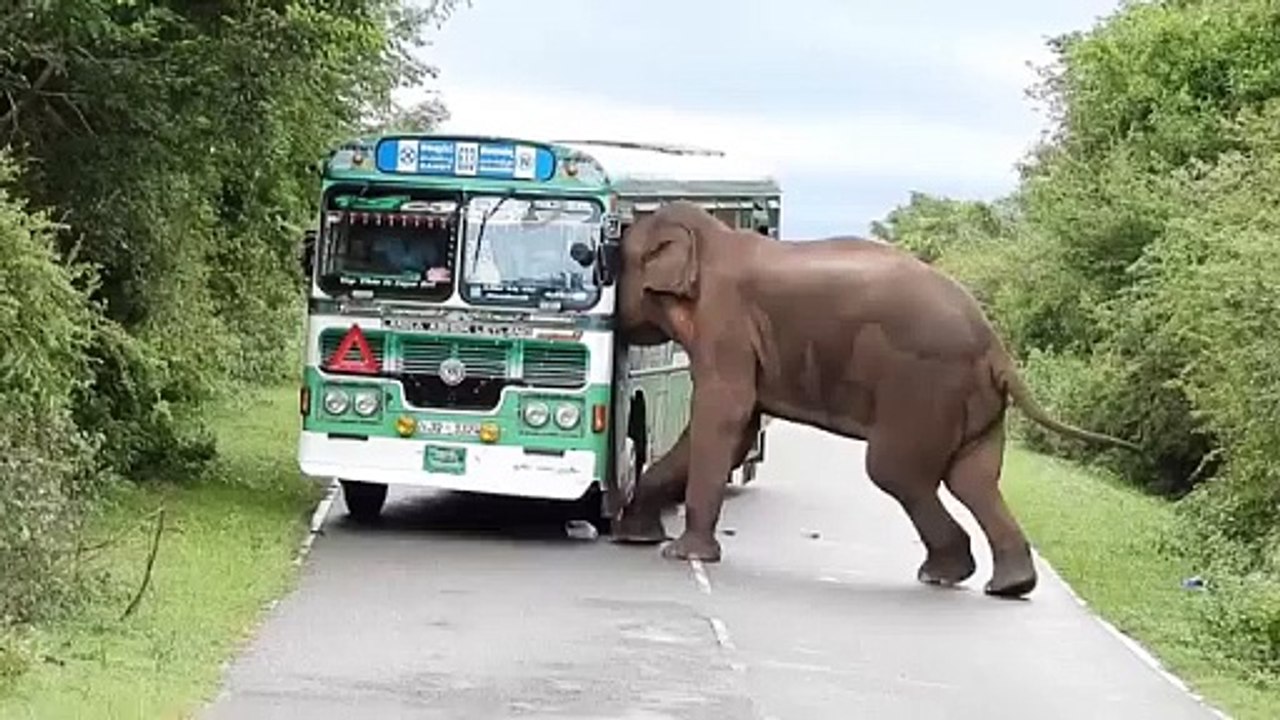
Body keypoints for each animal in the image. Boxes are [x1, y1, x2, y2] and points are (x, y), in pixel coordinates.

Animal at [609, 201, 1140, 598]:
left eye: (607, 260)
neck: (710, 238)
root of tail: (997, 350)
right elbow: (736, 431)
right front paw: (635, 537)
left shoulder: (727, 323)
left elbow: (724, 416)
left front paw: (682, 555)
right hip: (972, 403)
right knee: (973, 479)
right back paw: (1006, 586)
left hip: (927, 389)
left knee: (897, 472)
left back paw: (944, 574)